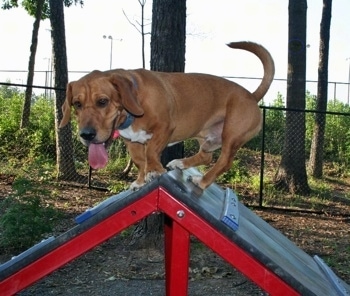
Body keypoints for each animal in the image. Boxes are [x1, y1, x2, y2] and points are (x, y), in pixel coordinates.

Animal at [58, 41, 274, 190]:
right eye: (77, 104)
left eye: (102, 101)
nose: (86, 135)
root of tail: (252, 96)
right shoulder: (132, 142)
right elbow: (139, 161)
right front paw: (141, 180)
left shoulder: (165, 127)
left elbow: (151, 152)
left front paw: (154, 170)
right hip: (205, 136)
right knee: (206, 157)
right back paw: (181, 163)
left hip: (231, 136)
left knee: (223, 162)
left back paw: (202, 181)